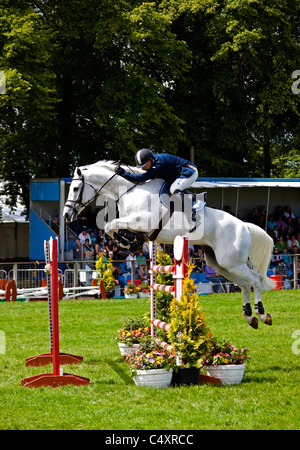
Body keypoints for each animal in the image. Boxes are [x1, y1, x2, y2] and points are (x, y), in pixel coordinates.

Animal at [63, 160, 274, 328]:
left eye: (75, 189)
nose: (66, 215)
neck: (129, 191)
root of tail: (245, 226)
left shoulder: (143, 220)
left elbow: (110, 225)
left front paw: (129, 241)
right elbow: (110, 227)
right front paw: (130, 242)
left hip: (232, 262)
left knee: (256, 280)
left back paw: (262, 314)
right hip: (220, 263)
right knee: (245, 285)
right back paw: (250, 317)